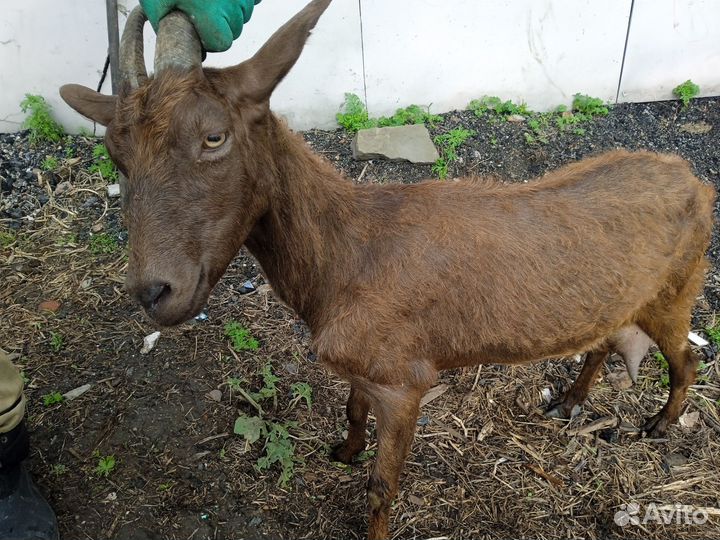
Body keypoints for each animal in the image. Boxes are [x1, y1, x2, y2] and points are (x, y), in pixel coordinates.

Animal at [60, 0, 715, 538]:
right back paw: (569, 402)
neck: (348, 256)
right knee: (603, 340)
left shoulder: (406, 380)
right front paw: (343, 451)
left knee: (687, 358)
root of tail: (694, 181)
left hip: (676, 290)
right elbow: (351, 411)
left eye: (214, 137)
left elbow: (383, 488)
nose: (152, 290)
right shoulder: (366, 366)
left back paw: (658, 425)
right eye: (115, 152)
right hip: (624, 297)